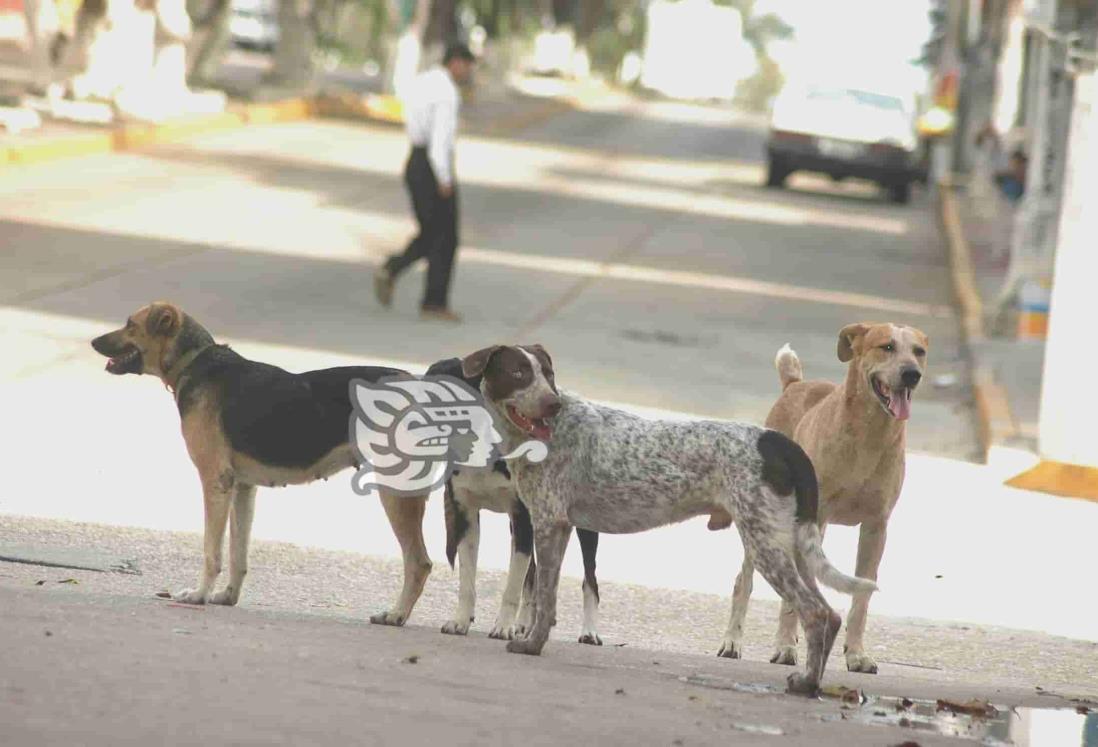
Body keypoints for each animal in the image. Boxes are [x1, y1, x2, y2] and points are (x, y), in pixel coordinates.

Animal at [90, 300, 432, 619]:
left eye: (130, 324)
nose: (93, 341)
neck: (195, 360)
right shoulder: (242, 488)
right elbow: (237, 554)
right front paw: (227, 596)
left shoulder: (215, 482)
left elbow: (212, 552)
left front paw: (199, 595)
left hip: (397, 491)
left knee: (419, 562)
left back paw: (396, 615)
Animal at [724, 322, 931, 672]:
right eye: (886, 346)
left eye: (919, 351)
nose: (911, 374)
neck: (868, 436)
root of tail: (794, 384)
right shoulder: (814, 519)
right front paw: (785, 648)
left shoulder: (876, 527)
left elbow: (862, 597)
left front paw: (857, 654)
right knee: (744, 582)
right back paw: (733, 641)